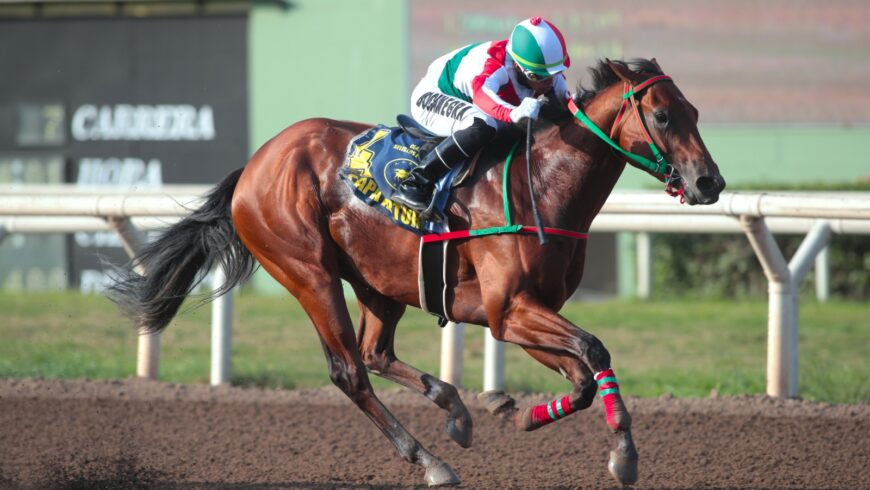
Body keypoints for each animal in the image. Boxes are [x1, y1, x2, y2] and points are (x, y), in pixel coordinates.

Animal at [110, 58, 728, 486]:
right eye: (664, 115)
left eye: (697, 113)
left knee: (376, 352)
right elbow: (595, 350)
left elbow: (579, 377)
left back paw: (455, 410)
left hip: (379, 281)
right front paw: (624, 454)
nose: (710, 183)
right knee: (350, 372)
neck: (543, 182)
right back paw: (430, 460)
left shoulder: (521, 311)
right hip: (309, 273)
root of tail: (256, 164)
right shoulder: (510, 311)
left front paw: (516, 414)